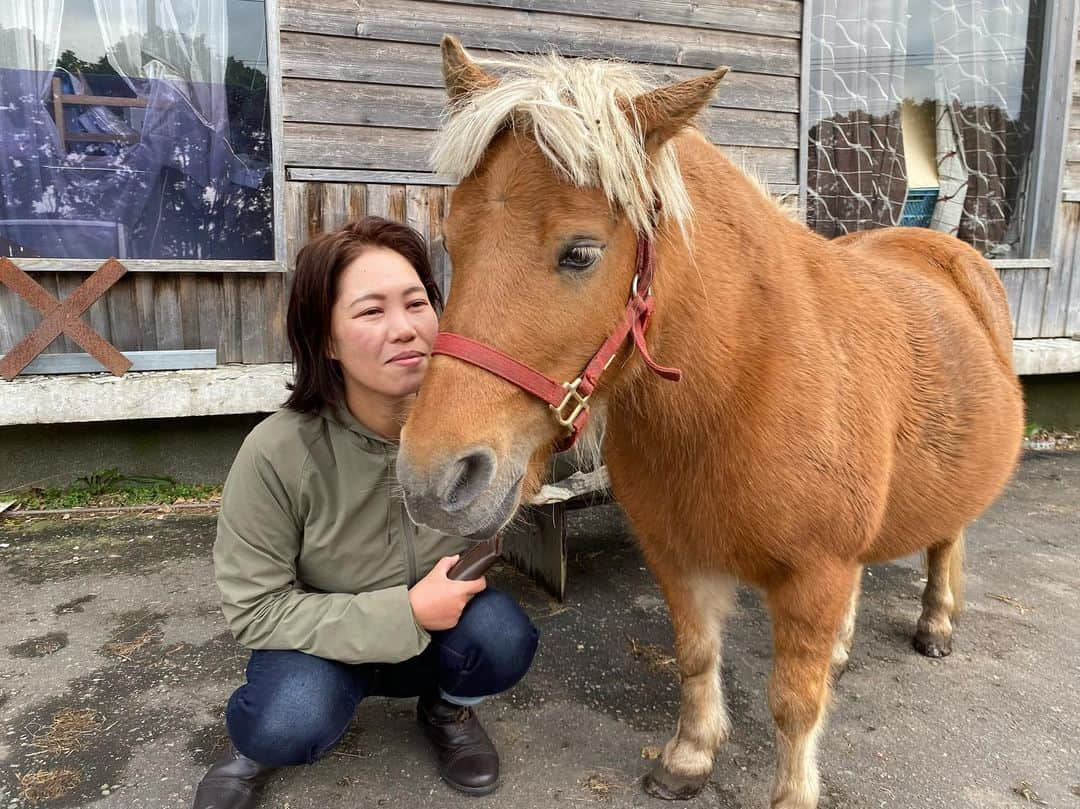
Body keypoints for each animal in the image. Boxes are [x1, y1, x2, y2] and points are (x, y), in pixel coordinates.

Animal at [397, 37, 1019, 807]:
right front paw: (690, 756)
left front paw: (792, 792)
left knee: (945, 542)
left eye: (580, 252)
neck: (743, 386)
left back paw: (936, 622)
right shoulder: (679, 555)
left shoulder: (815, 575)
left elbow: (794, 703)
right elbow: (695, 656)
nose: (432, 480)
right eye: (454, 239)